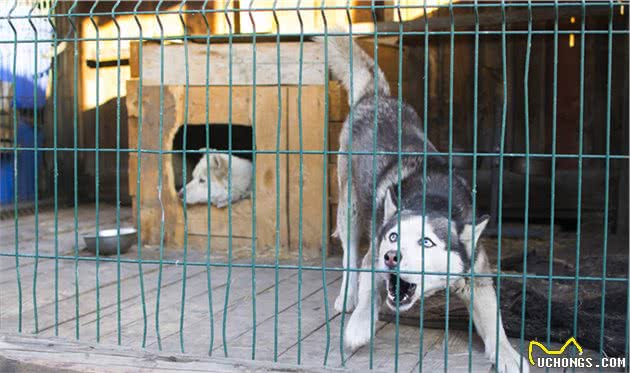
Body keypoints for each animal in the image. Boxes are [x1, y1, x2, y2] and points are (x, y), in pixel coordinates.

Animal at [320, 35, 528, 372]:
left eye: (426, 242)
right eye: (393, 237)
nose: (392, 256)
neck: (433, 197)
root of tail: (377, 97)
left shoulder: (477, 276)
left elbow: (495, 322)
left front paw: (508, 354)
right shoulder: (373, 257)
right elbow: (368, 290)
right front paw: (359, 325)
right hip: (349, 207)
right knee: (350, 256)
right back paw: (346, 298)